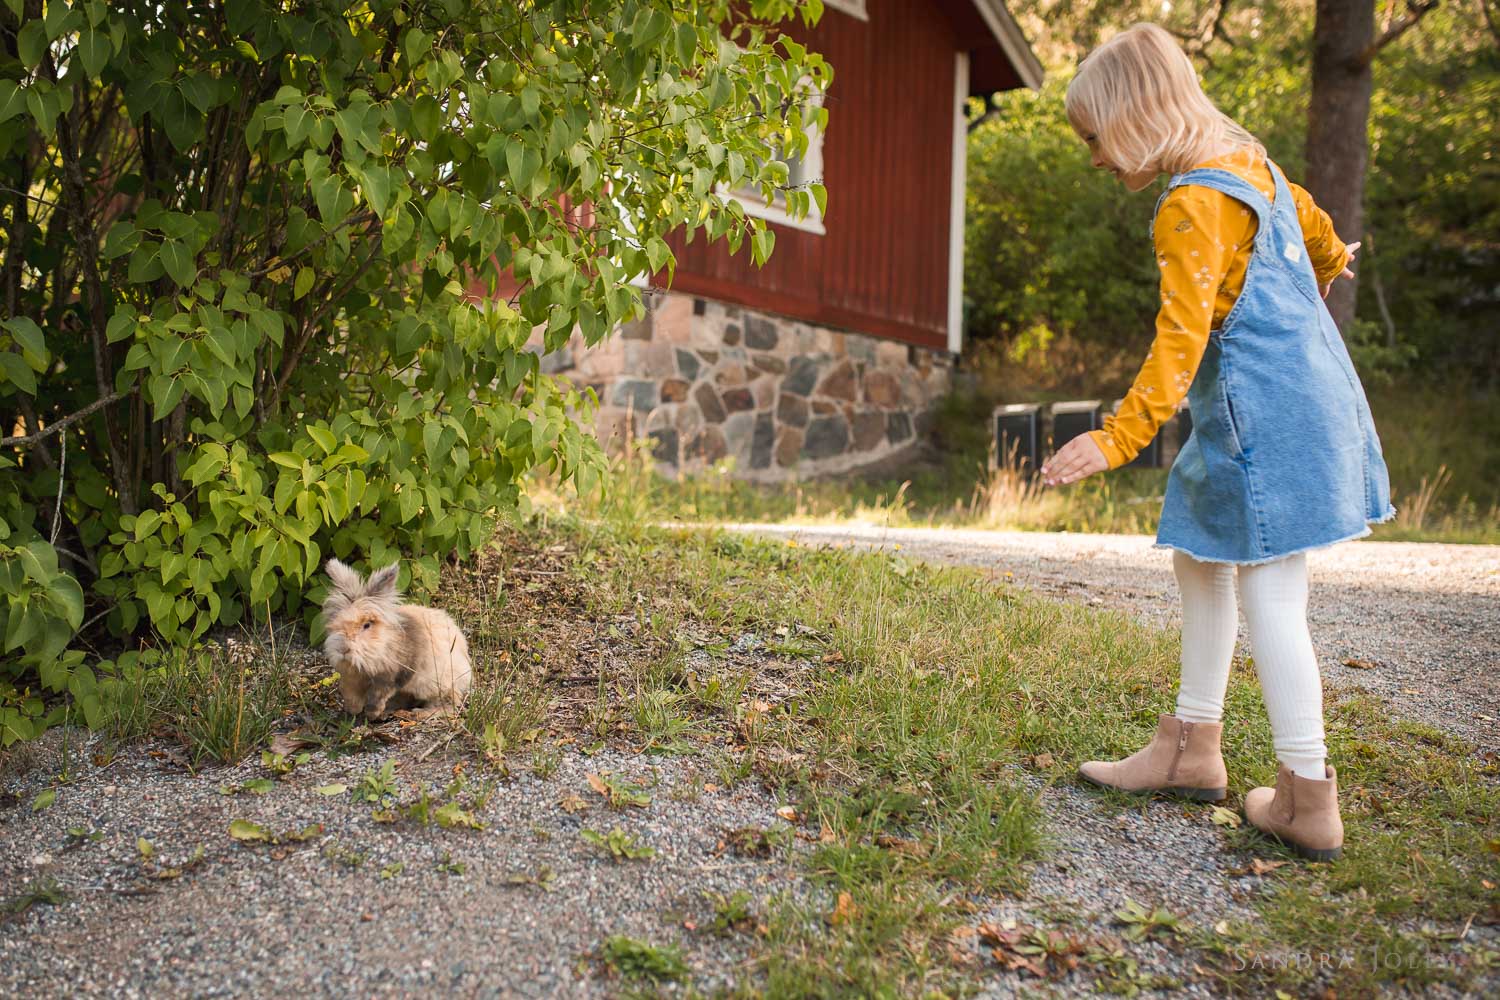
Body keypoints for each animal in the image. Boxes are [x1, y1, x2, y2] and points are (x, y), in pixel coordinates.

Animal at [319, 563, 471, 719]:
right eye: (336, 624)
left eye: (367, 625)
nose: (343, 649)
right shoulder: (351, 678)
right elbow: (350, 694)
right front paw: (352, 711)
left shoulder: (391, 677)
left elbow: (378, 695)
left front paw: (372, 713)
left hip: (441, 686)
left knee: (449, 704)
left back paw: (418, 713)